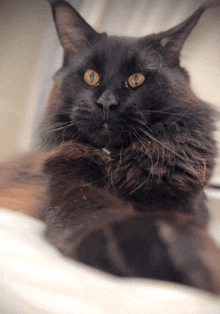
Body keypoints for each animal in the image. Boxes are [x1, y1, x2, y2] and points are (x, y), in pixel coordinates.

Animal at [39, 0, 220, 294]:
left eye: (137, 79)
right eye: (91, 77)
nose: (107, 103)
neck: (115, 158)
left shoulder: (184, 200)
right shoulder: (68, 185)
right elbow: (94, 213)